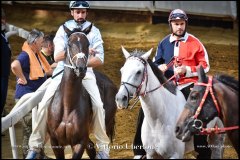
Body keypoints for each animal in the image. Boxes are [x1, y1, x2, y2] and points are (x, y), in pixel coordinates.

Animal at [46, 24, 116, 158]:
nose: (80, 68)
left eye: (87, 44)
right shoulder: (55, 142)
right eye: (69, 44)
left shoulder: (79, 142)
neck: (68, 106)